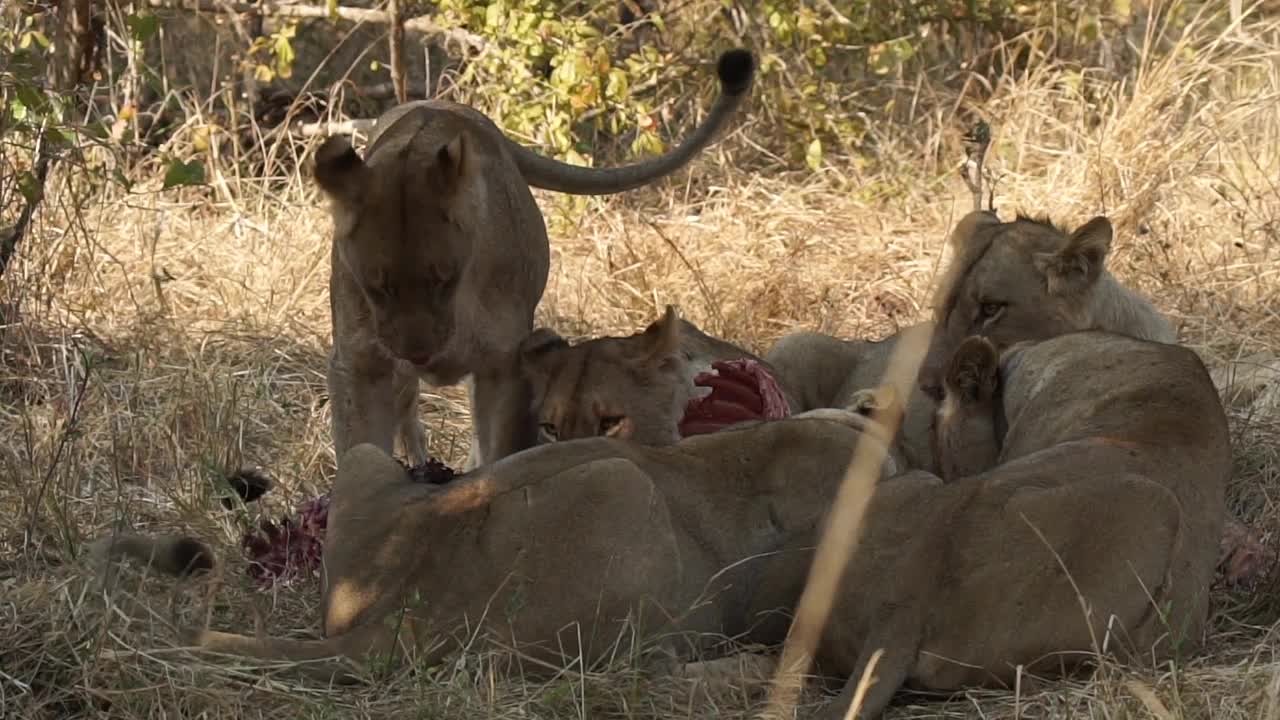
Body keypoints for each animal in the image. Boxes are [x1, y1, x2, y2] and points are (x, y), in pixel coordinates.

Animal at [322, 47, 757, 468]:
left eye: (445, 279)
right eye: (375, 288)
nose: (418, 354)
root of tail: (442, 104)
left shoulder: (506, 367)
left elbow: (500, 450)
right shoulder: (358, 364)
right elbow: (360, 444)